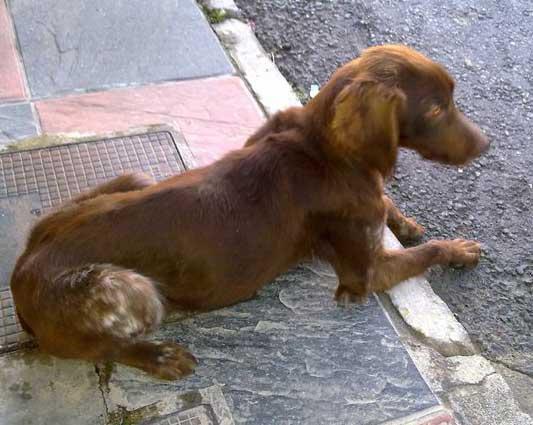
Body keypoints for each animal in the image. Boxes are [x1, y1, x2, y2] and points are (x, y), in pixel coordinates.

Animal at [11, 45, 486, 378]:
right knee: (106, 347)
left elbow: (390, 205)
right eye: (436, 108)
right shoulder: (363, 276)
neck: (323, 148)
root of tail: (21, 271)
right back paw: (160, 356)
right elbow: (425, 251)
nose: (486, 144)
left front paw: (407, 222)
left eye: (452, 97)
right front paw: (458, 249)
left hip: (134, 176)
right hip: (130, 287)